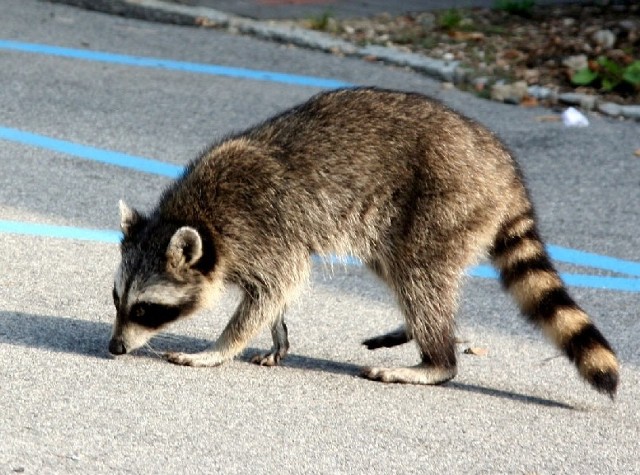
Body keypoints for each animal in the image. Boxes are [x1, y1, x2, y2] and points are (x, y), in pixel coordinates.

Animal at [110, 86, 620, 398]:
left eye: (146, 309)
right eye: (117, 299)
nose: (114, 348)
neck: (196, 217)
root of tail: (503, 168)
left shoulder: (264, 230)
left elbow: (275, 286)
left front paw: (219, 348)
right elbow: (277, 291)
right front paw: (277, 332)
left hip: (446, 202)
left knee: (419, 276)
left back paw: (437, 359)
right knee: (401, 271)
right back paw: (417, 331)